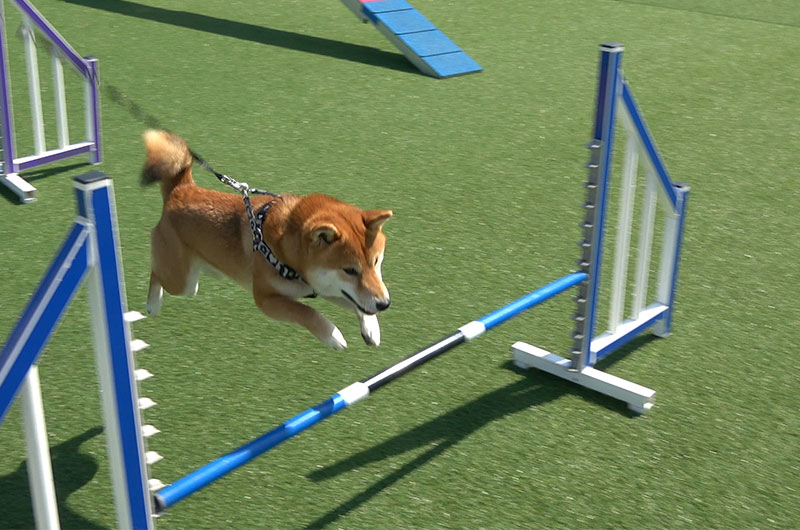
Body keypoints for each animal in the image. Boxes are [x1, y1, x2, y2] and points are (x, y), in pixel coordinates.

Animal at [145, 129, 396, 348]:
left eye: (376, 262)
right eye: (350, 270)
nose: (384, 304)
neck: (286, 253)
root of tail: (181, 189)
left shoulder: (324, 286)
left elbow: (357, 302)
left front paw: (371, 327)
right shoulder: (266, 299)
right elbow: (305, 311)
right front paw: (332, 335)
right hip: (182, 282)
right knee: (156, 272)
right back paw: (152, 304)